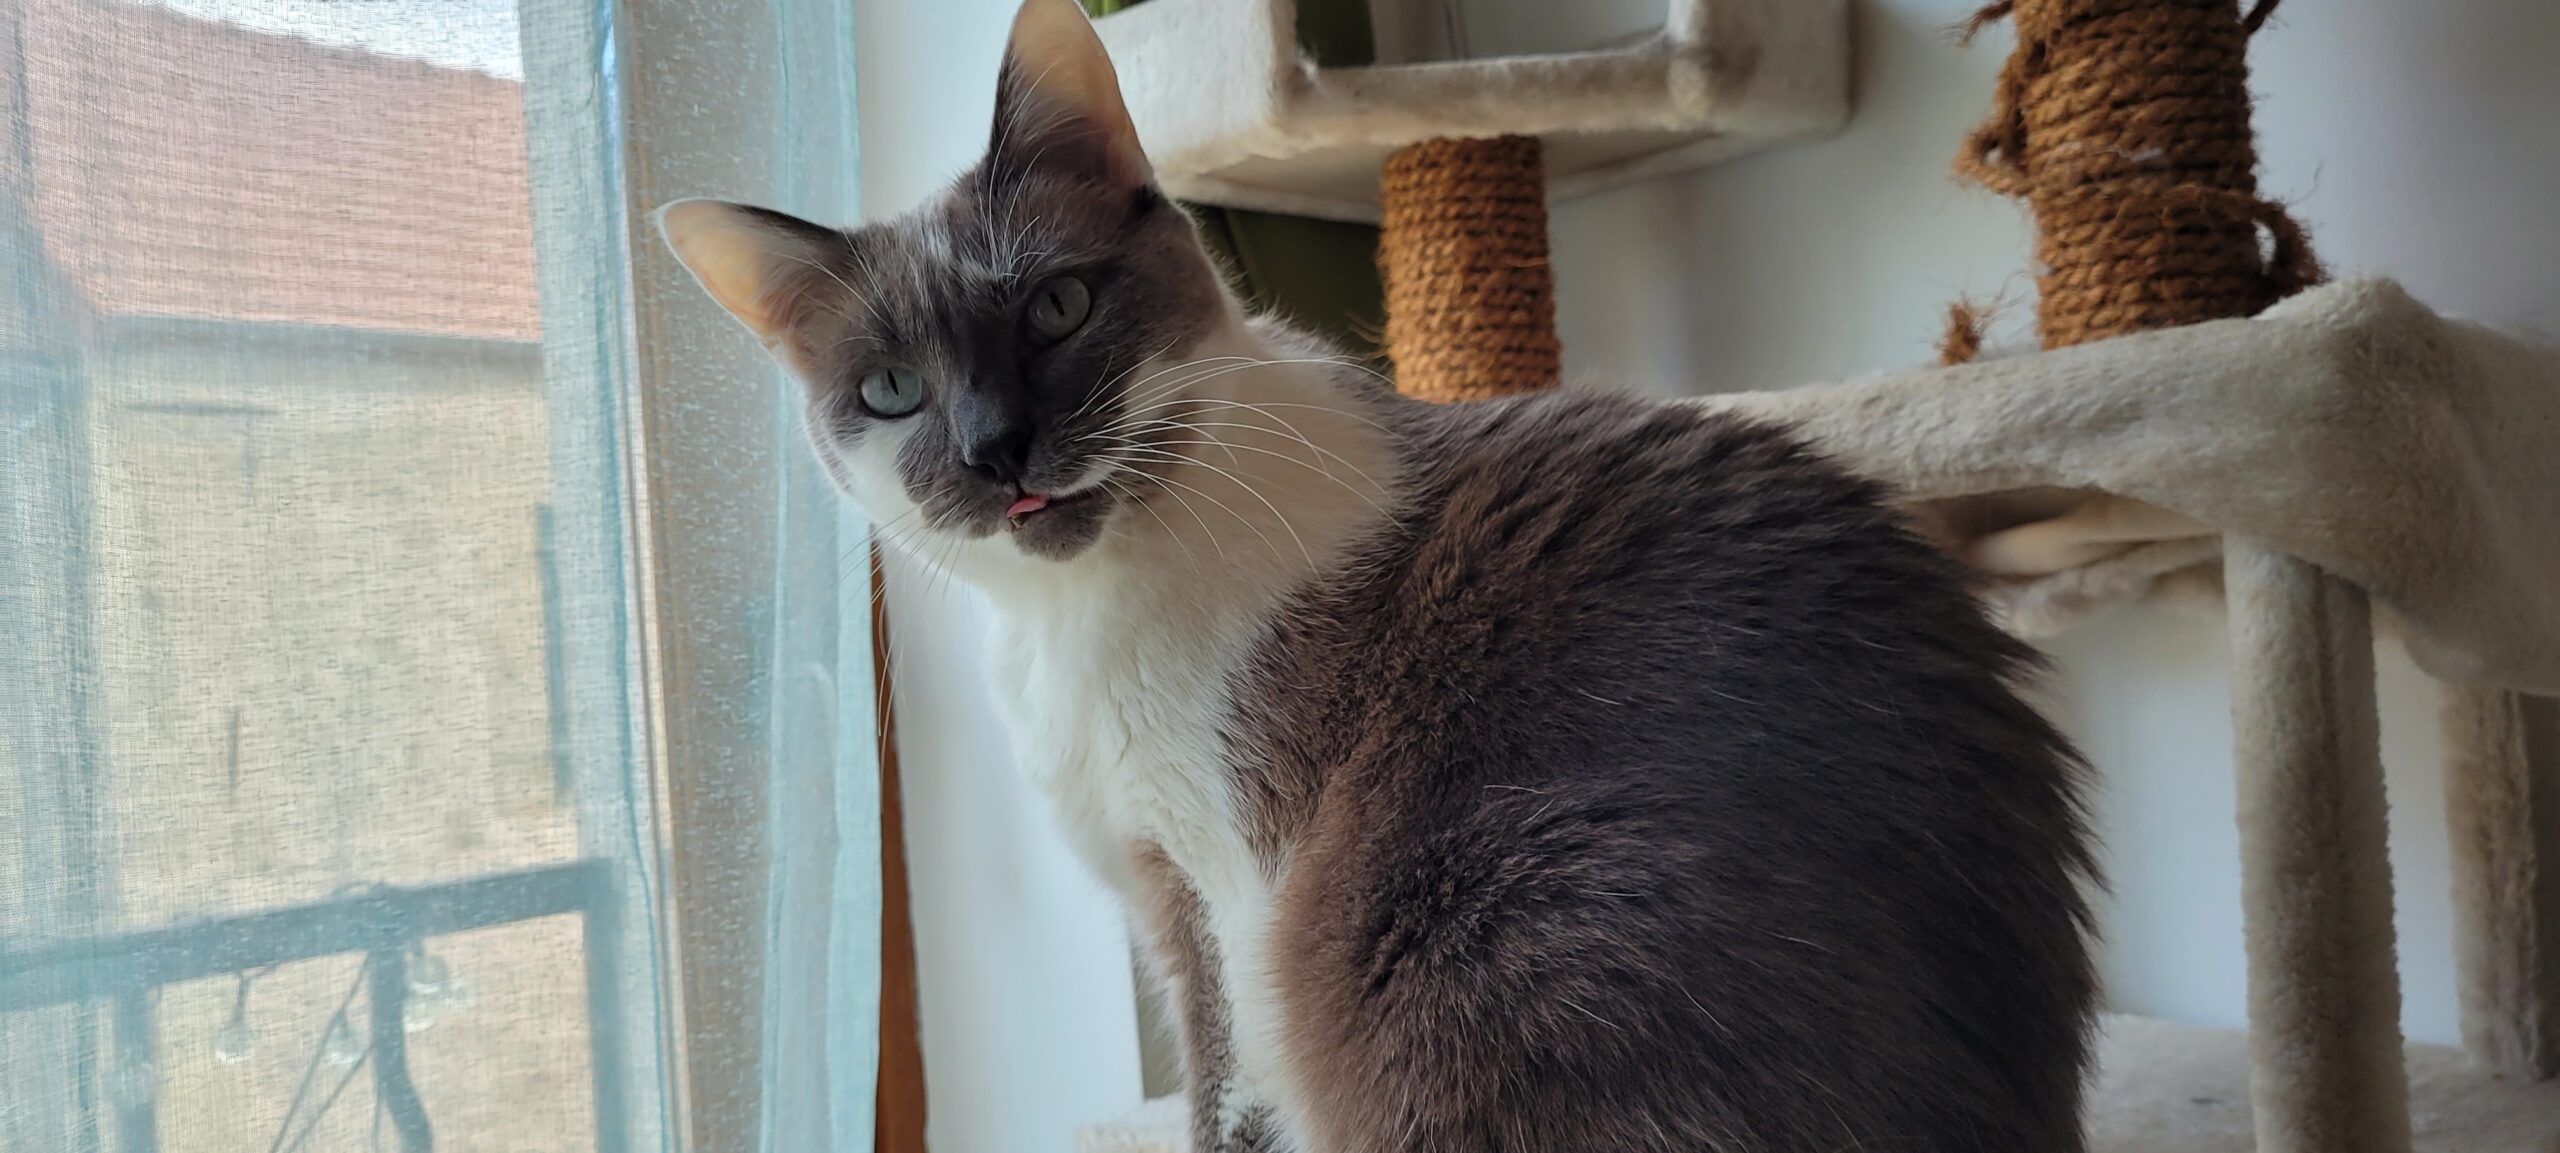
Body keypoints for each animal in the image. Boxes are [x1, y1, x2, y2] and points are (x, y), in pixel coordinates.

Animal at [660, 2, 2099, 1153]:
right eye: (892, 393)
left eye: (1057, 309)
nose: (993, 450)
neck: (1067, 615)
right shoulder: (1156, 889)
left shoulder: (1212, 890)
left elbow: (1225, 1105)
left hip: (1489, 915)